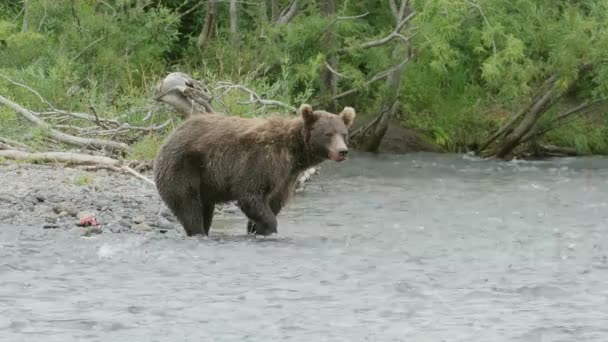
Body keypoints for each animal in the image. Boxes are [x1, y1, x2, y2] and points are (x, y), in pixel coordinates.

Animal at [153, 104, 356, 236]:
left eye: (344, 133)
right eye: (328, 134)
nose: (342, 151)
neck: (294, 154)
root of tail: (170, 135)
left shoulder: (286, 177)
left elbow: (273, 202)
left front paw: (255, 228)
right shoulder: (261, 162)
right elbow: (250, 195)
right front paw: (269, 228)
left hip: (204, 182)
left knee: (205, 209)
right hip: (184, 168)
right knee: (189, 206)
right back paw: (197, 231)